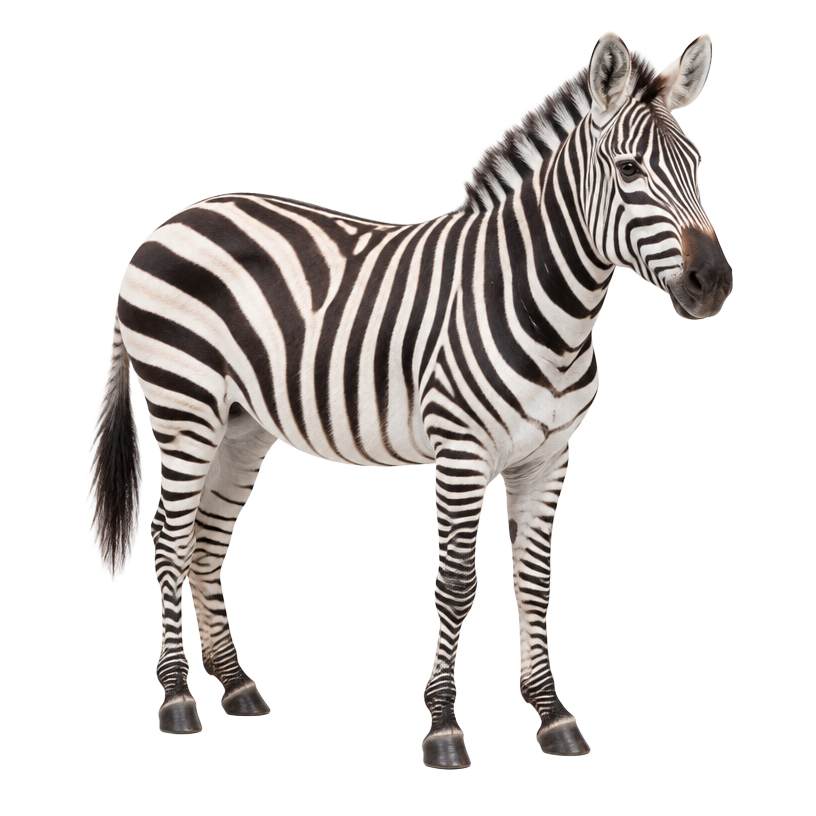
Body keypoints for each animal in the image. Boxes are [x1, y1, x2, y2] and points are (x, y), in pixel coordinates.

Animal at [86, 31, 732, 766]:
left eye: (697, 164)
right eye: (628, 170)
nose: (714, 284)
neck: (542, 302)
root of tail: (168, 224)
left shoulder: (548, 456)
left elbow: (536, 583)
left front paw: (552, 715)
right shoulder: (461, 451)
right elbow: (455, 585)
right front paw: (444, 725)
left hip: (240, 423)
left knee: (205, 539)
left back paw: (236, 683)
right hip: (184, 402)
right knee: (168, 537)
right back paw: (177, 698)